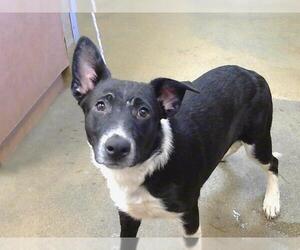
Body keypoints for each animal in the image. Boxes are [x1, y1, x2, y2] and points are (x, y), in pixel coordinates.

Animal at [71, 36, 280, 237]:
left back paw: (272, 201)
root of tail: (251, 73)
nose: (117, 147)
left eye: (143, 111)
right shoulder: (128, 215)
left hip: (256, 143)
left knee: (273, 162)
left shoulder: (189, 216)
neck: (144, 169)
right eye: (100, 106)